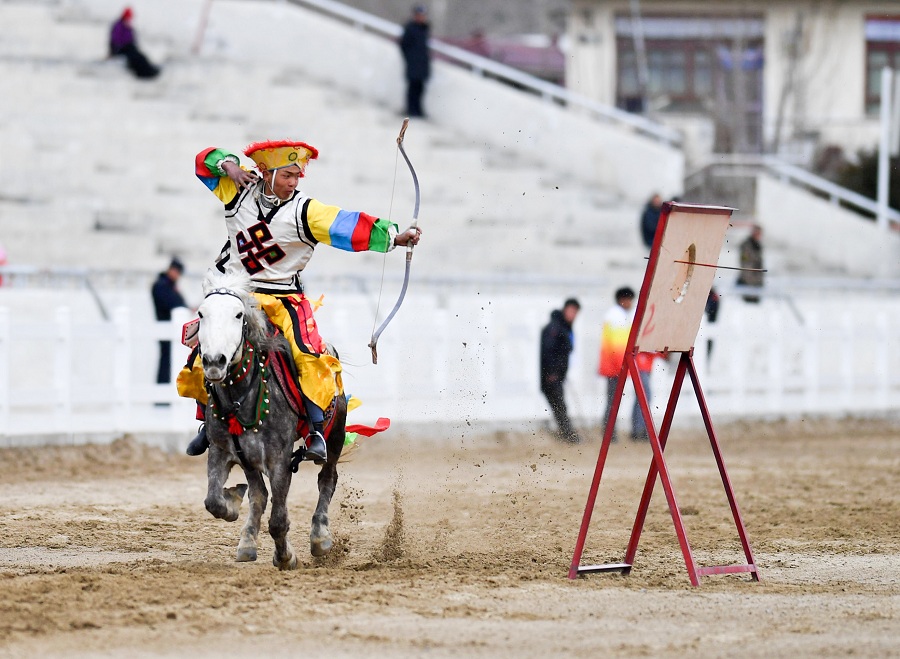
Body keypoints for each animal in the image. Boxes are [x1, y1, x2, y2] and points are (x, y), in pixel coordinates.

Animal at [195, 270, 346, 568]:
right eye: (201, 313)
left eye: (238, 315)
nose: (214, 361)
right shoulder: (220, 449)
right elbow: (213, 501)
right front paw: (232, 502)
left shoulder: (279, 459)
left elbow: (278, 520)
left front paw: (286, 557)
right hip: (249, 459)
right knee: (259, 494)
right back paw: (247, 543)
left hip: (336, 435)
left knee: (327, 479)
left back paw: (320, 537)